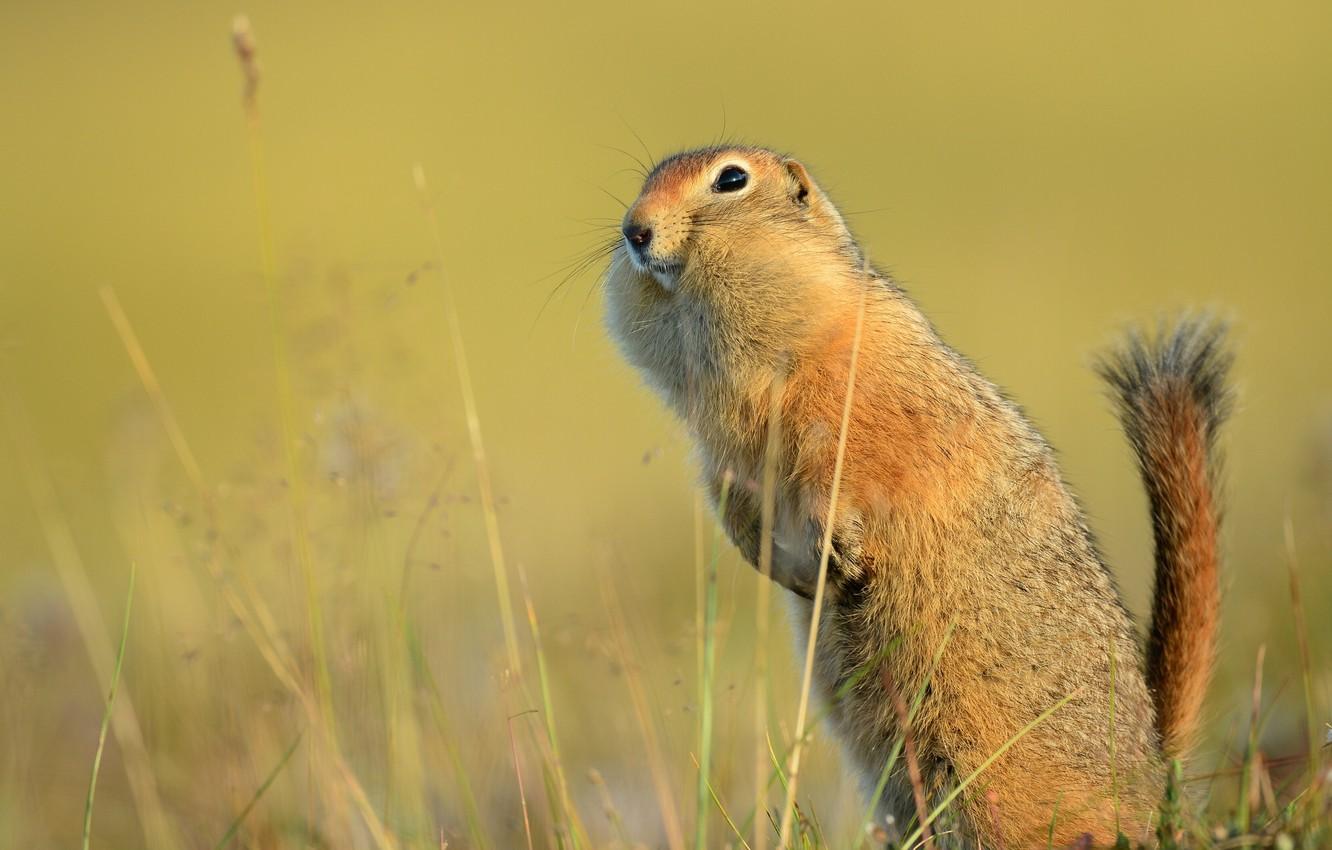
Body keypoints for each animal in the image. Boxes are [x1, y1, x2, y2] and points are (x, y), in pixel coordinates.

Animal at [599, 145, 1230, 847]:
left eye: (731, 178)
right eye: (647, 179)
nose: (633, 230)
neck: (764, 364)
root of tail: (1156, 778)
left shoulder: (846, 409)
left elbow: (846, 472)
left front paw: (836, 548)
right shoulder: (721, 454)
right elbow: (732, 501)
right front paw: (784, 567)